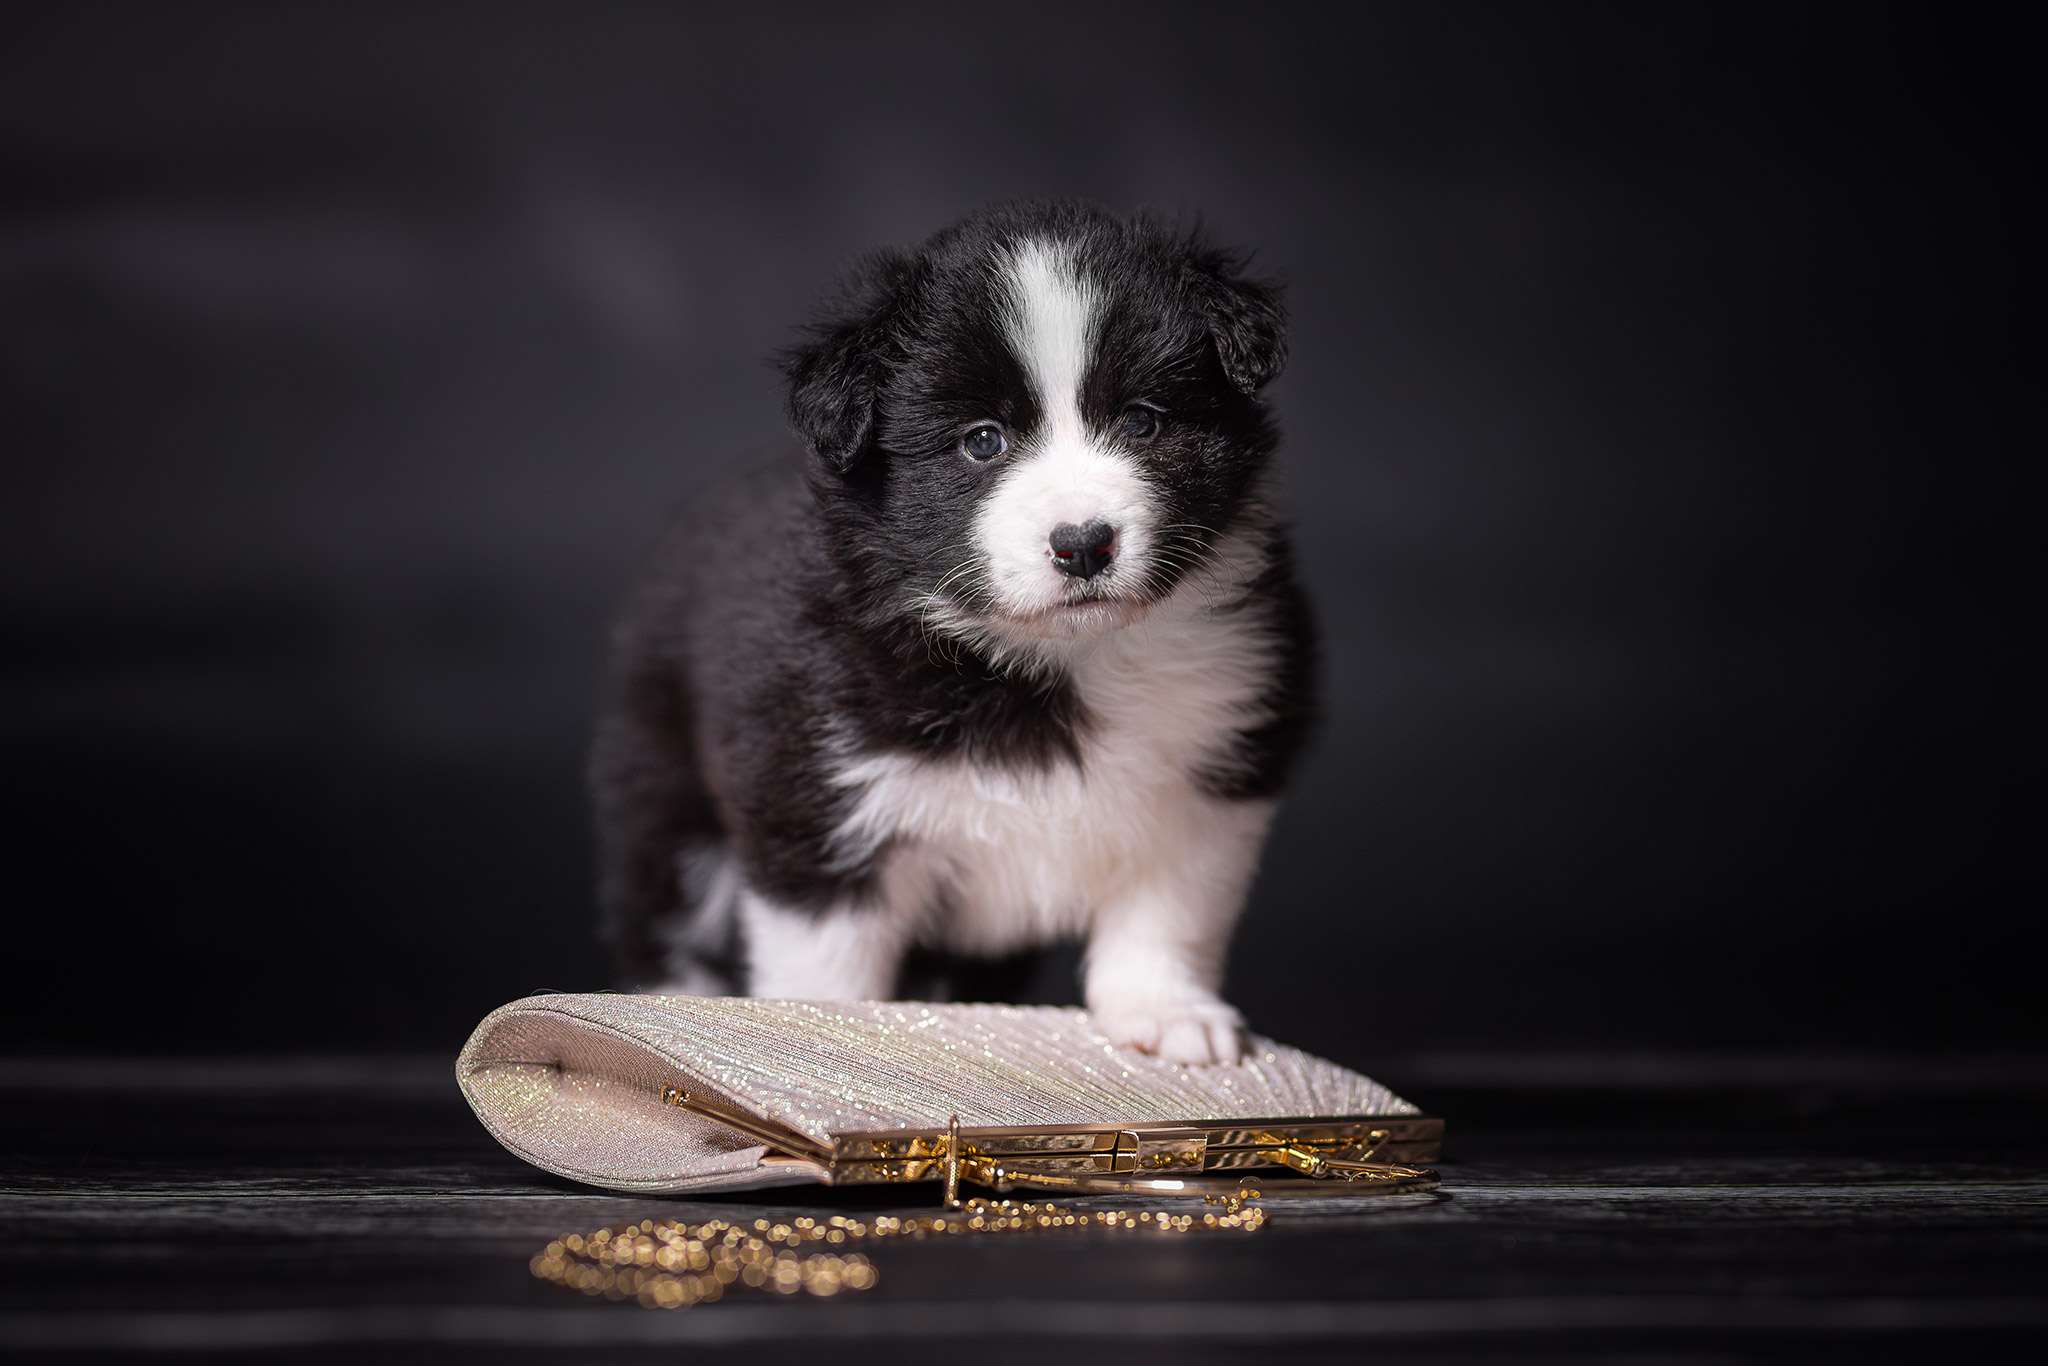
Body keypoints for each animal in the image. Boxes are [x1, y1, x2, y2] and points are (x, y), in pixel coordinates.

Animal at [593, 197, 1318, 1064]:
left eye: (1143, 422)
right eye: (982, 440)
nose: (1083, 544)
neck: (1052, 660)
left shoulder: (1220, 764)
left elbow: (1170, 910)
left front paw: (1167, 1012)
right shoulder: (815, 794)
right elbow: (828, 960)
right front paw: (823, 1047)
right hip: (664, 781)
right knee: (669, 916)